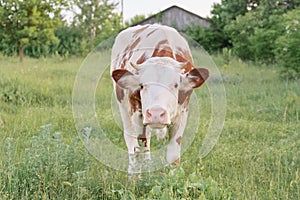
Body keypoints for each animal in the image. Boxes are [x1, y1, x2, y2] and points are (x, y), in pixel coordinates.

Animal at [110, 23, 209, 174]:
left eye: (175, 85)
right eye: (142, 85)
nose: (156, 114)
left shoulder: (182, 113)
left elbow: (173, 154)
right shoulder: (137, 114)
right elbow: (140, 148)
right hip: (123, 106)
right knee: (132, 140)